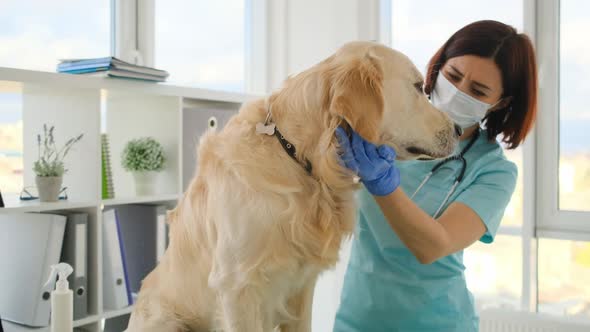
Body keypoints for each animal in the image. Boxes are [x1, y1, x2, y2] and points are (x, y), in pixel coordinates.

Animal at [127, 41, 460, 332]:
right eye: (418, 87)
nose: (458, 129)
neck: (298, 158)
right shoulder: (236, 287)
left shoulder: (302, 285)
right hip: (169, 321)